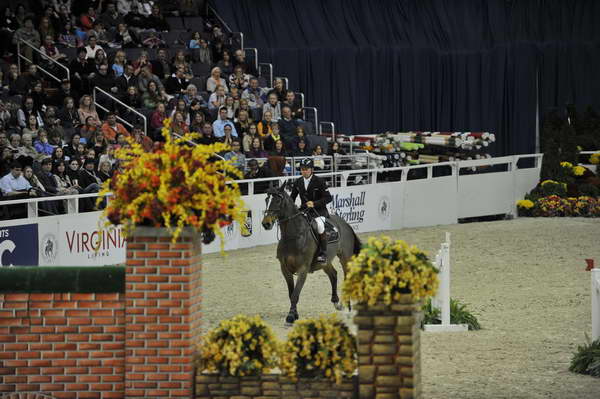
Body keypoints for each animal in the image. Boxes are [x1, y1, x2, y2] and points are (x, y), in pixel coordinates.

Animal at [262, 183, 360, 326]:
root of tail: (345, 224)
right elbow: (291, 293)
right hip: (325, 262)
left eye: (278, 200)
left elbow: (295, 294)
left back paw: (347, 307)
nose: (266, 223)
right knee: (333, 274)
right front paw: (294, 314)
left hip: (345, 258)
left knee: (346, 277)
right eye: (266, 200)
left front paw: (290, 317)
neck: (293, 236)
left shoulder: (303, 269)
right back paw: (336, 302)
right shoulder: (285, 269)